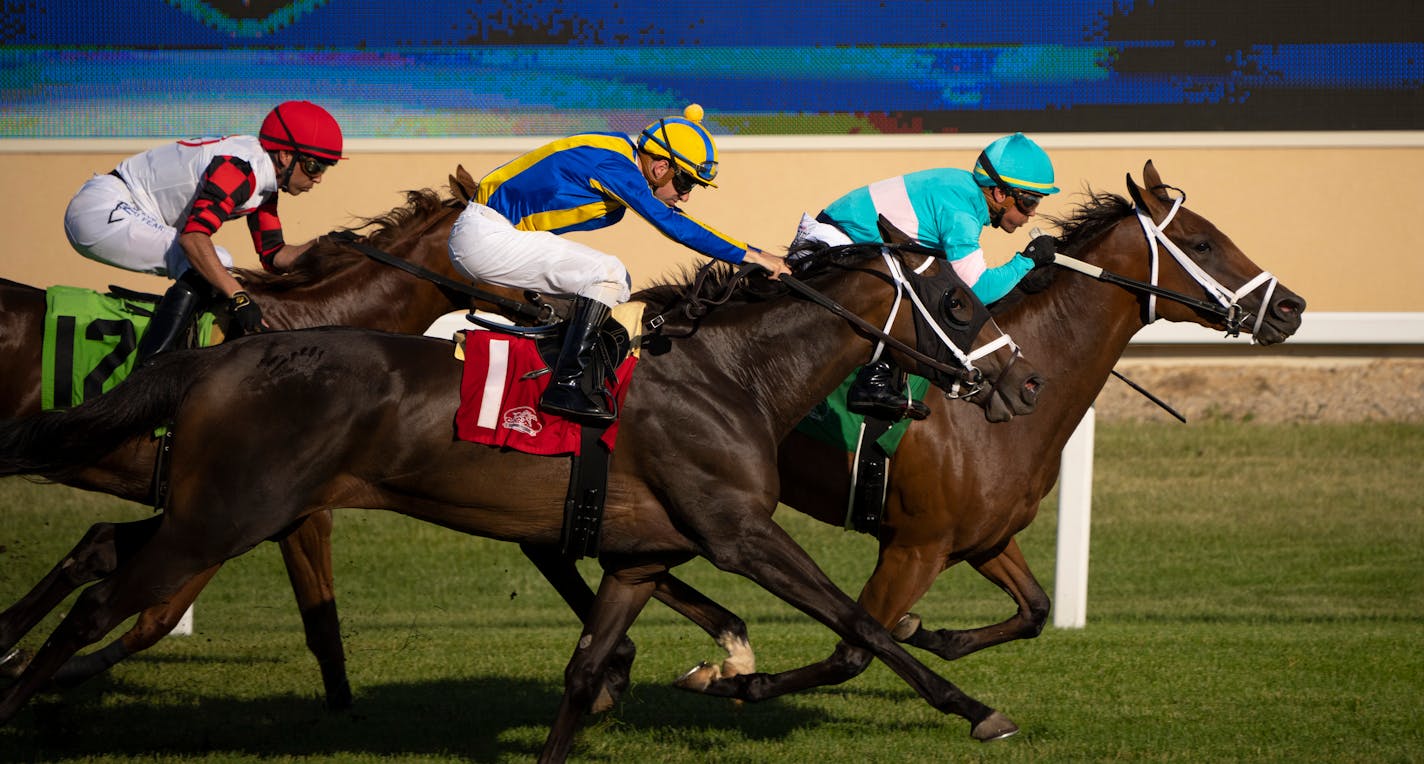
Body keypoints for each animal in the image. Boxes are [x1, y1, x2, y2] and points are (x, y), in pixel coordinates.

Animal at [0, 243, 1042, 756]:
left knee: (103, 553)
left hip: (217, 510)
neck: (731, 376)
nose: (1026, 384)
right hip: (223, 518)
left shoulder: (641, 556)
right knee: (103, 599)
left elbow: (584, 674)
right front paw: (977, 709)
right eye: (957, 303)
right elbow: (860, 625)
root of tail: (216, 356)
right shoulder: (739, 532)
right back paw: (21, 700)